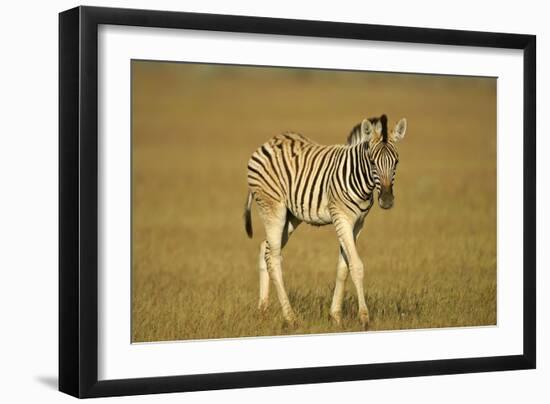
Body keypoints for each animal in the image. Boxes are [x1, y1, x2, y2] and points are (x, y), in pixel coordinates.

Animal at [244, 114, 408, 328]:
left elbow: (343, 267)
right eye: (372, 162)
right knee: (273, 258)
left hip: (291, 217)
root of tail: (268, 143)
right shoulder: (342, 217)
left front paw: (335, 316)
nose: (387, 201)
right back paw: (290, 317)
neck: (358, 177)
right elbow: (356, 266)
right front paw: (364, 317)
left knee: (265, 248)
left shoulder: (357, 224)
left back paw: (262, 311)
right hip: (272, 208)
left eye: (396, 162)